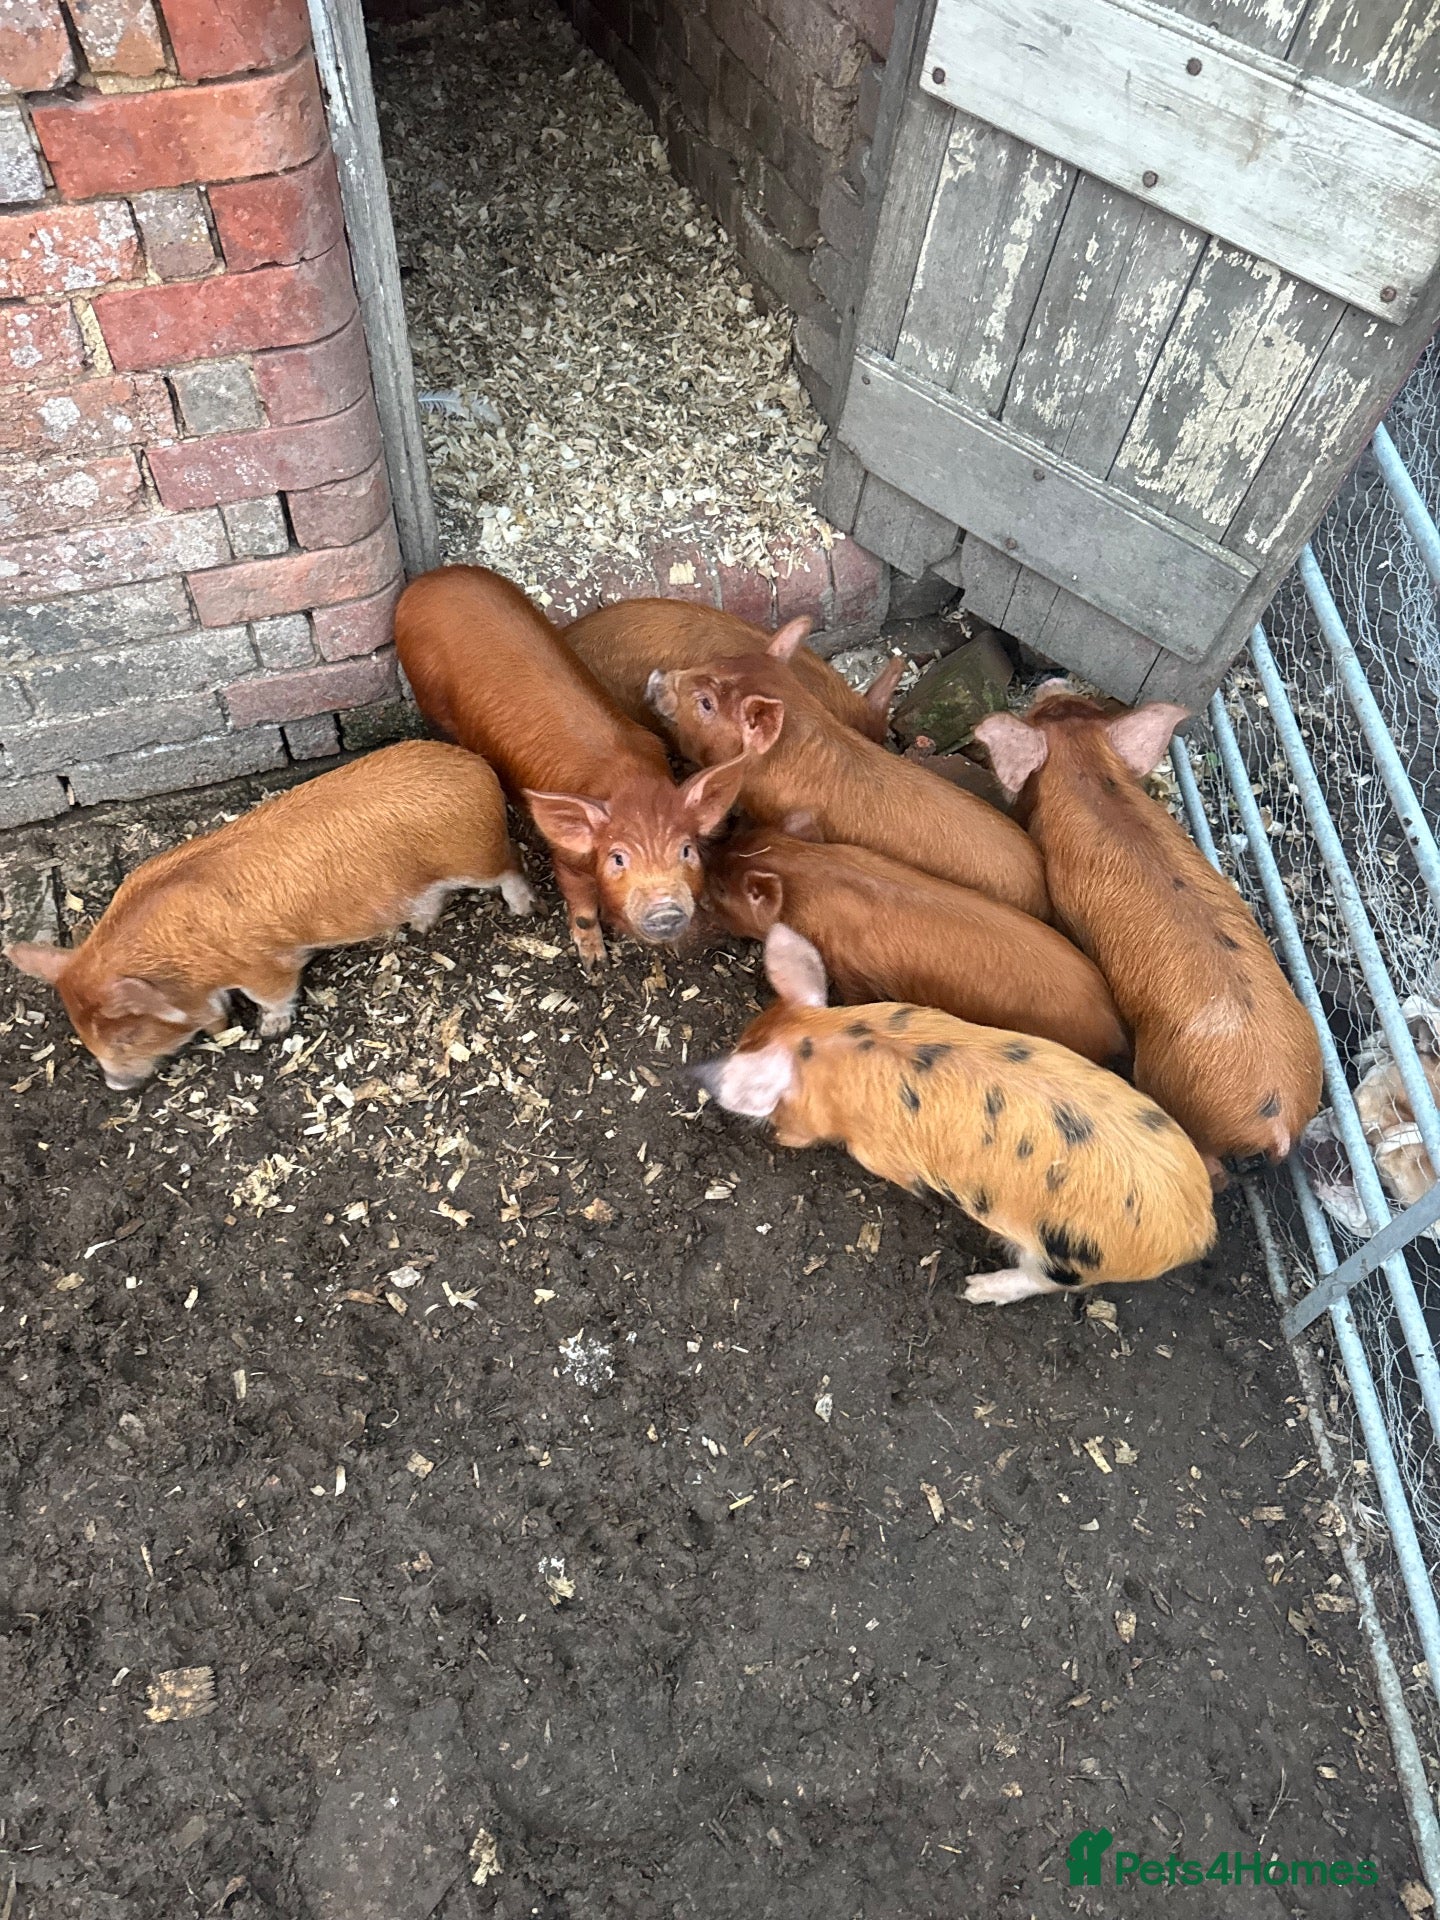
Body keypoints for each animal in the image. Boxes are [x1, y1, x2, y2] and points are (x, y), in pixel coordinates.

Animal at [3, 740, 534, 1090]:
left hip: (477, 855)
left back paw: (523, 906)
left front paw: (270, 1031)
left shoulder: (264, 964)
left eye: (130, 1032)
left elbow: (273, 995)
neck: (179, 961)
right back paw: (418, 927)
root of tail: (476, 767)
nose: (116, 1087)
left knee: (512, 864)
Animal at [395, 566, 747, 968]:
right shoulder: (567, 859)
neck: (629, 783)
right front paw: (595, 963)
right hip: (431, 701)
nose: (665, 910)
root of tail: (426, 581)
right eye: (618, 858)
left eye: (686, 850)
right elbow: (581, 906)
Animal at [693, 925, 1216, 1303]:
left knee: (1046, 1281)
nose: (776, 1133)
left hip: (1072, 1257)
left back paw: (973, 1290)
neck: (827, 1044)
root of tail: (1195, 1229)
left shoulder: (874, 1151)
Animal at [974, 689, 1323, 1183]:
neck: (1087, 772)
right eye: (1069, 705)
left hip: (1169, 1085)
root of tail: (1277, 1122)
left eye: (1037, 714)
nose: (1052, 683)